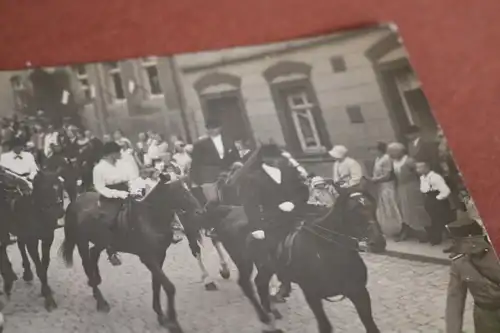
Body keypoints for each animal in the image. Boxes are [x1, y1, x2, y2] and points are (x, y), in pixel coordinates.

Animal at [59, 175, 204, 330]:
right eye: (182, 192)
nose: (199, 211)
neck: (150, 218)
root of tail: (75, 202)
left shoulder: (160, 256)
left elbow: (157, 284)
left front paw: (161, 315)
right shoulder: (148, 258)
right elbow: (169, 287)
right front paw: (173, 322)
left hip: (100, 241)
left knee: (93, 255)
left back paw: (96, 284)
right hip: (82, 242)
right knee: (87, 264)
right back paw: (100, 300)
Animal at [205, 145, 380, 332]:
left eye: (373, 206)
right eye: (353, 211)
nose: (378, 242)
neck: (327, 250)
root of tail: (228, 210)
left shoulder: (359, 293)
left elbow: (371, 326)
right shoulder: (312, 295)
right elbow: (325, 326)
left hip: (265, 267)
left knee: (260, 284)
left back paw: (272, 313)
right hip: (243, 262)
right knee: (246, 285)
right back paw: (265, 316)